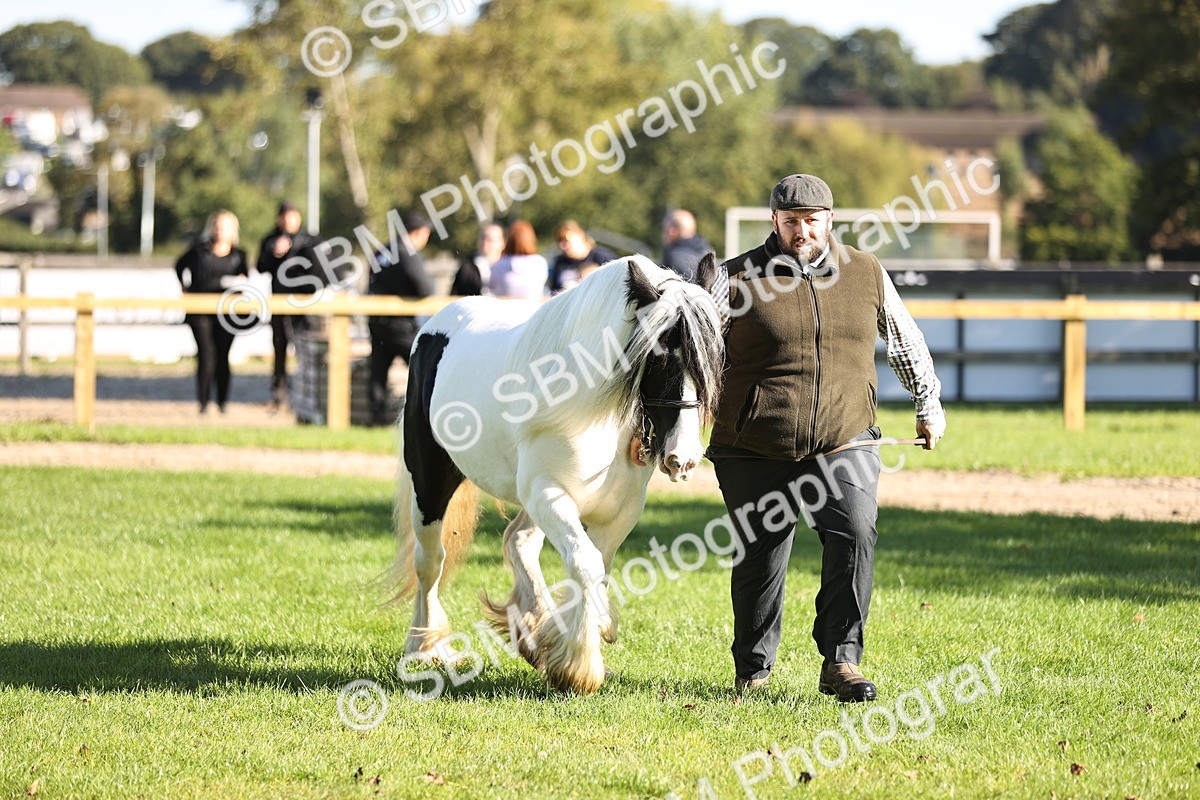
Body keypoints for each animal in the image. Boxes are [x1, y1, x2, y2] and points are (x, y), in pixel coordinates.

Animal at [391, 253, 725, 694]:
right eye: (658, 354)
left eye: (713, 356)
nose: (682, 458)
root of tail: (435, 324)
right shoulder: (547, 492)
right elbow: (585, 564)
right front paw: (579, 665)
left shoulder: (619, 509)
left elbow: (596, 568)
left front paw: (577, 635)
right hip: (431, 482)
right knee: (430, 561)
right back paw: (423, 647)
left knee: (517, 541)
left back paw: (534, 631)